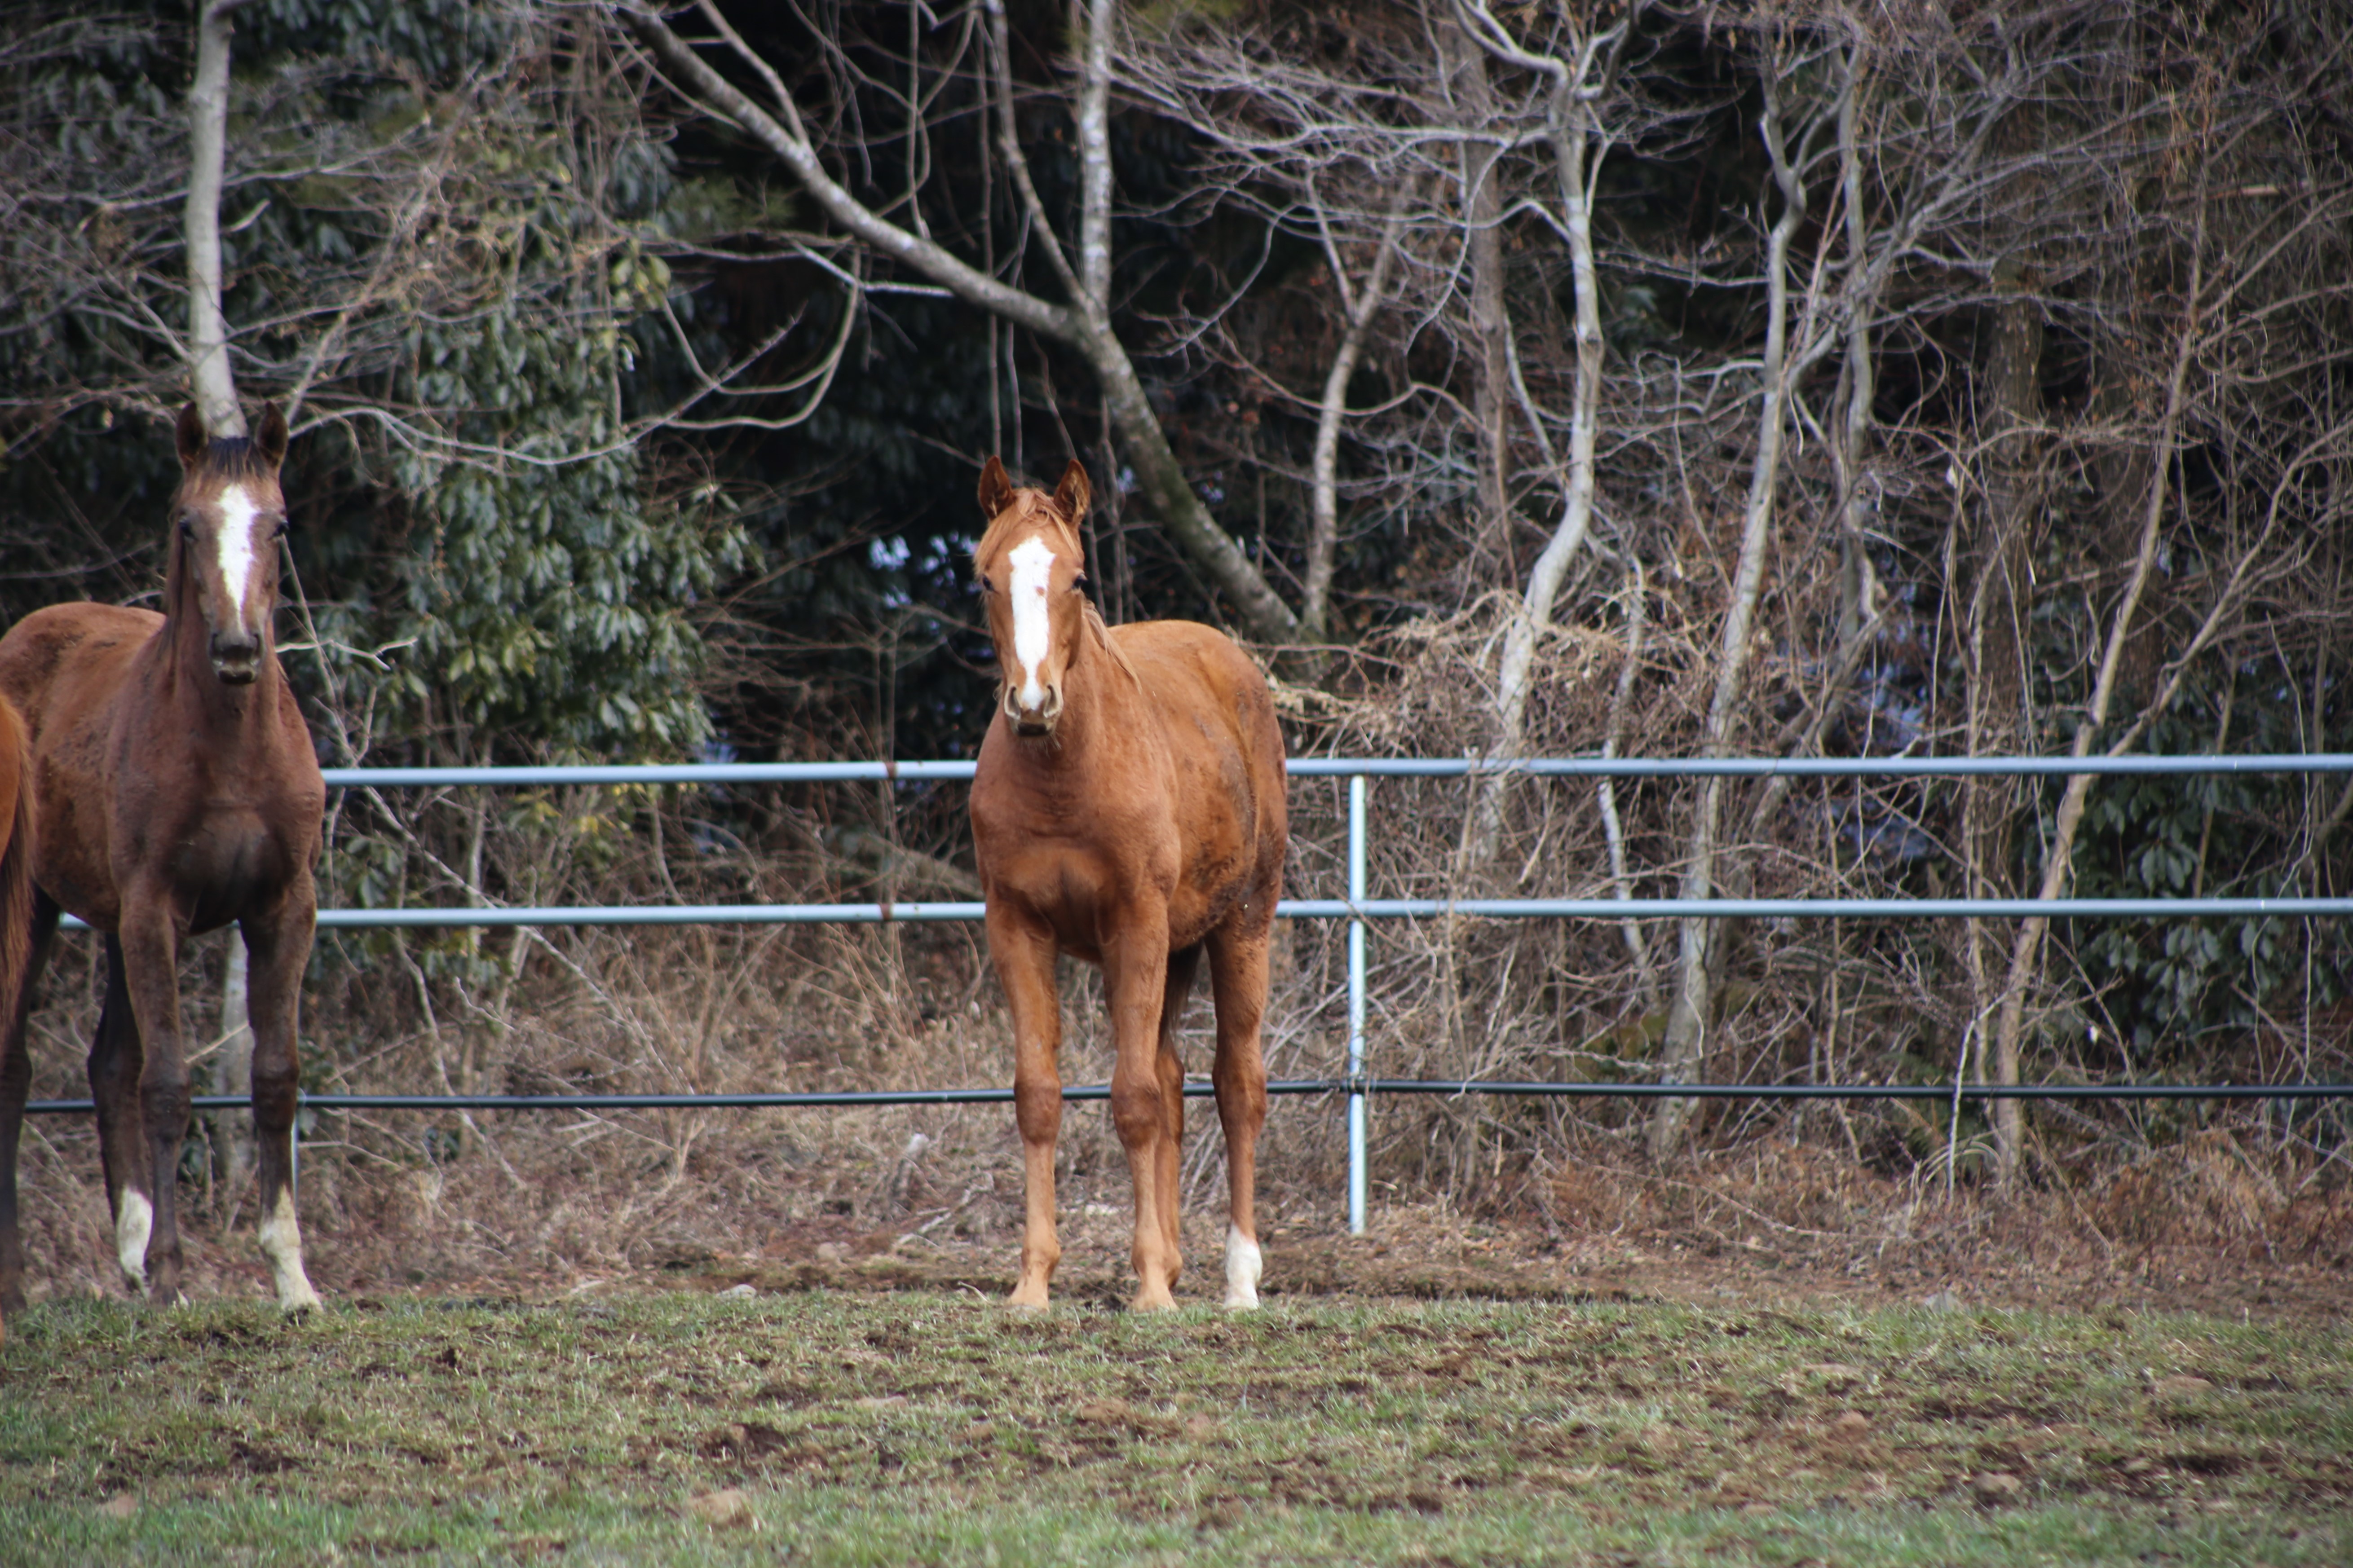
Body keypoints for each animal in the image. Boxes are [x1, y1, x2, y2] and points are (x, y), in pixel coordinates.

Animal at [0, 400, 324, 1316]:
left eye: (278, 523)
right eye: (188, 523)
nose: (238, 648)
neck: (232, 751)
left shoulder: (284, 907)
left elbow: (276, 1077)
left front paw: (291, 1277)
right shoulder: (157, 912)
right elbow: (170, 1085)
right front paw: (178, 1274)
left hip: (111, 922)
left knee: (108, 1066)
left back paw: (130, 1256)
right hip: (37, 906)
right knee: (17, 1066)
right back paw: (19, 1286)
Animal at [964, 456, 1289, 1316]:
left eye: (1076, 577)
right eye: (984, 578)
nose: (1033, 701)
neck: (1065, 774)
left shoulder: (1135, 923)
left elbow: (1134, 1099)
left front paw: (1148, 1290)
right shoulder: (1016, 928)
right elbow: (1039, 1096)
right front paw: (1033, 1282)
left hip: (1242, 925)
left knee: (1235, 1084)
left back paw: (1237, 1278)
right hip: (1172, 947)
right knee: (1175, 1078)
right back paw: (1175, 1260)